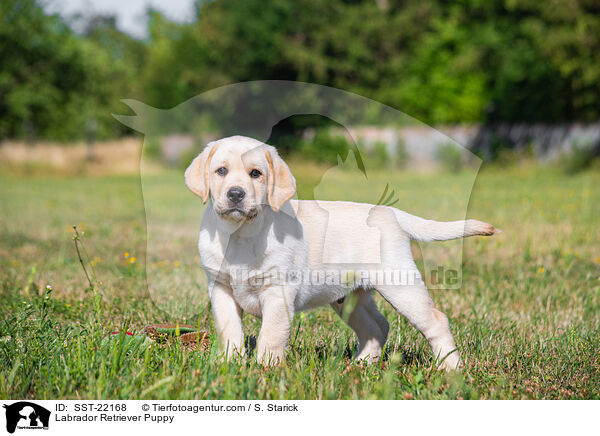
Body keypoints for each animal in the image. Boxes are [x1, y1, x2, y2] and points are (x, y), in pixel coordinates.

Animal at [185, 135, 500, 370]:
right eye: (221, 171)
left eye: (256, 174)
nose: (236, 194)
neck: (240, 233)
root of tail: (390, 213)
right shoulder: (220, 288)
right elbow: (230, 330)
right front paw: (228, 365)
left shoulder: (278, 292)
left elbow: (271, 335)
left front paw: (265, 369)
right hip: (349, 297)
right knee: (377, 327)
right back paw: (360, 365)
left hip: (400, 285)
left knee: (436, 321)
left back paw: (450, 368)